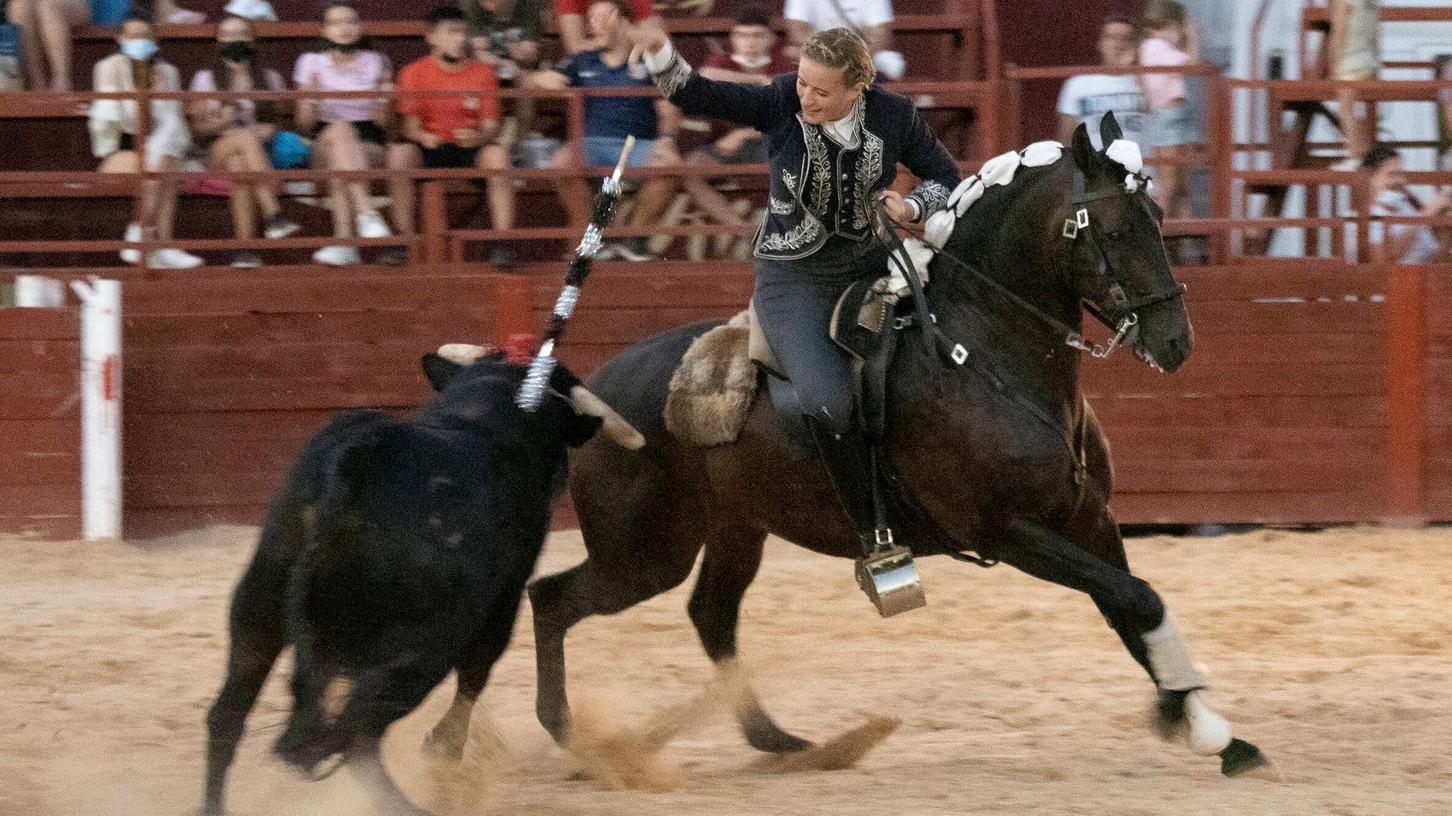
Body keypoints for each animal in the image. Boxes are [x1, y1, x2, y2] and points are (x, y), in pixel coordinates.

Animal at [197, 348, 641, 813]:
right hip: (425, 647)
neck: (487, 418)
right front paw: (444, 749)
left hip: (258, 603)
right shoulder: (502, 601)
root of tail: (358, 463)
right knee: (356, 726)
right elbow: (477, 670)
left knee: (232, 714)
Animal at [426, 114, 1271, 772]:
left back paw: (781, 741)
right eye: (1119, 229)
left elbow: (1134, 605)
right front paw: (1203, 726)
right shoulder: (1008, 530)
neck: (984, 351)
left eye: (1161, 221)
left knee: (709, 615)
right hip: (643, 552)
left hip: (731, 532)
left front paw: (1209, 728)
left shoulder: (1087, 518)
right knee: (552, 599)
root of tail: (584, 387)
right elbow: (1132, 596)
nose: (1176, 341)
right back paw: (509, 739)